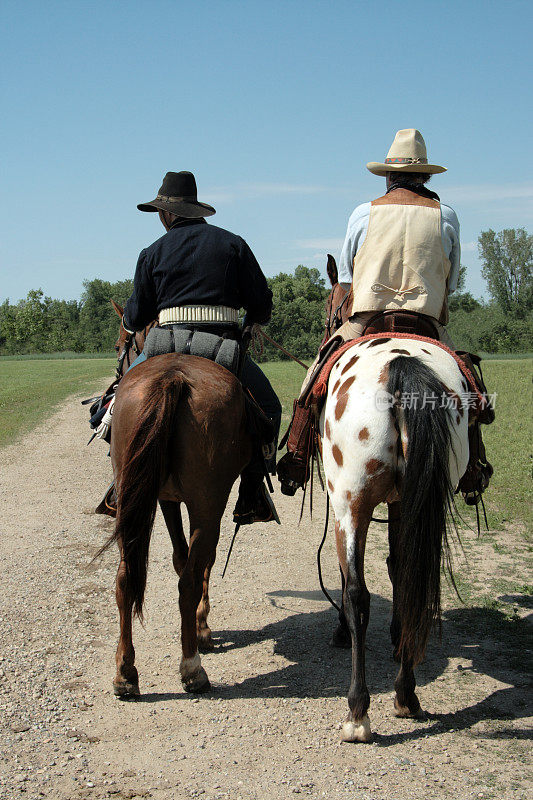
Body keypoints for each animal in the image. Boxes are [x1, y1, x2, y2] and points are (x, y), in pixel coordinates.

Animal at [101, 304, 252, 696]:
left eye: (120, 344)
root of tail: (173, 378)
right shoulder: (198, 503)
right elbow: (196, 561)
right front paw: (202, 629)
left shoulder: (164, 499)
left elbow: (179, 557)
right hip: (207, 504)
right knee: (191, 576)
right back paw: (192, 668)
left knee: (126, 577)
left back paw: (126, 672)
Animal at [318, 334, 468, 740]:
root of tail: (400, 364)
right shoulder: (403, 503)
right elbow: (401, 574)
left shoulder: (345, 511)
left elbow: (350, 582)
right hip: (423, 497)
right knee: (415, 582)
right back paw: (406, 695)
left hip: (351, 503)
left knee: (357, 595)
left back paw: (358, 713)